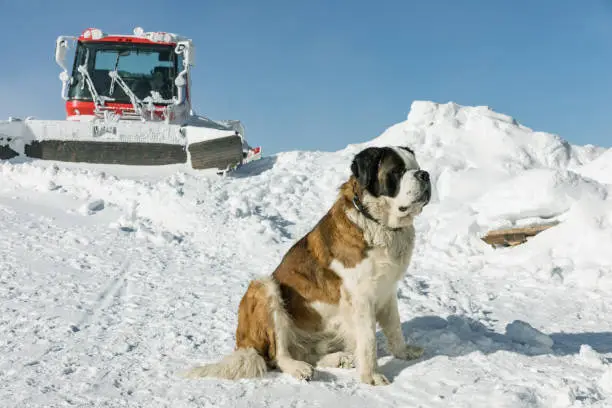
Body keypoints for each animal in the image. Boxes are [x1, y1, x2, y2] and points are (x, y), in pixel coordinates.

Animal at [186, 144, 430, 386]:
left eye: (416, 167)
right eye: (397, 171)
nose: (424, 175)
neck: (376, 222)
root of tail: (244, 343)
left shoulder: (387, 290)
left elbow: (395, 326)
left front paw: (404, 352)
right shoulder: (361, 297)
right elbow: (368, 340)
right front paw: (371, 376)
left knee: (307, 353)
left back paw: (338, 358)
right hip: (265, 287)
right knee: (278, 355)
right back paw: (299, 368)